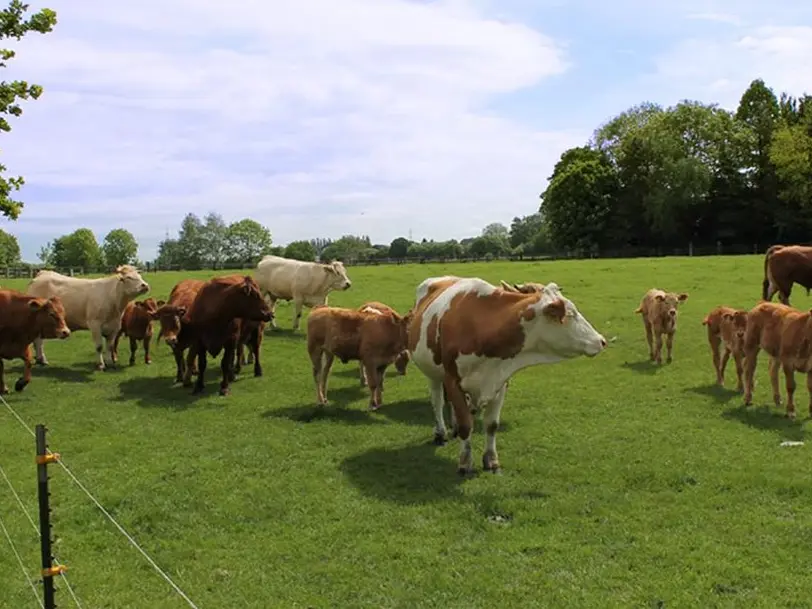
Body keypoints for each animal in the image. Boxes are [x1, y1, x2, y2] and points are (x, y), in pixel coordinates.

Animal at [410, 276, 604, 476]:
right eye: (571, 314)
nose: (601, 341)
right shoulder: (452, 380)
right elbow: (465, 425)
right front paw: (464, 463)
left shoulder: (501, 381)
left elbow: (491, 425)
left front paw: (491, 460)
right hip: (432, 372)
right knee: (437, 401)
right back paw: (440, 432)